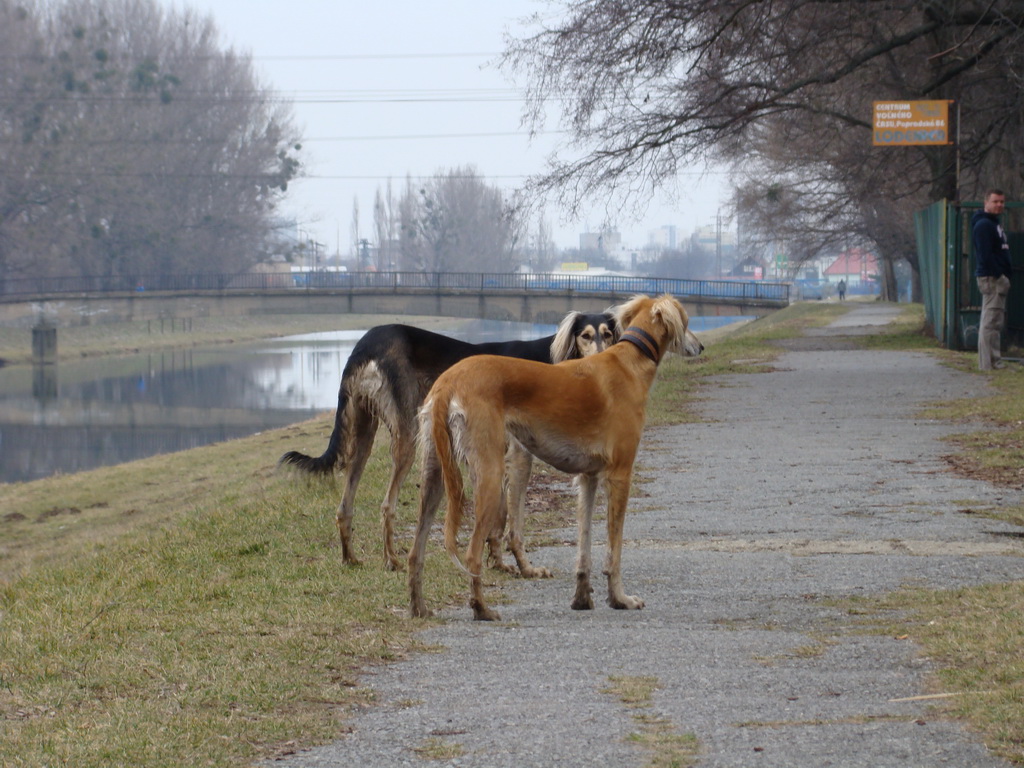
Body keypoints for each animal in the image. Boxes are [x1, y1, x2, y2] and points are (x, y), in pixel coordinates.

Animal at [280, 311, 614, 573]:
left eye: (608, 334)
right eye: (585, 336)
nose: (601, 361)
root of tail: (366, 341)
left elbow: (497, 512)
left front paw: (497, 562)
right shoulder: (518, 454)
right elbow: (511, 518)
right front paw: (522, 566)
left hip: (363, 431)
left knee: (344, 505)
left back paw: (350, 559)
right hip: (408, 432)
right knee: (387, 504)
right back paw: (391, 561)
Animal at [407, 292, 704, 618]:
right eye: (687, 321)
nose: (700, 346)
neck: (629, 360)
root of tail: (449, 380)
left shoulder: (588, 478)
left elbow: (584, 545)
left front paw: (582, 597)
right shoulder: (620, 475)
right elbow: (614, 551)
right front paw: (620, 598)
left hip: (434, 475)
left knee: (415, 551)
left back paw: (418, 607)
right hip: (490, 474)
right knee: (472, 554)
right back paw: (482, 609)